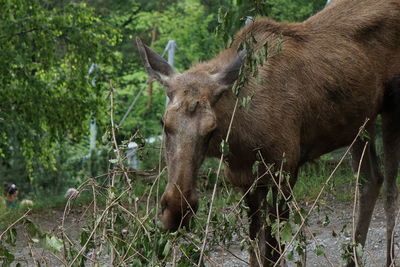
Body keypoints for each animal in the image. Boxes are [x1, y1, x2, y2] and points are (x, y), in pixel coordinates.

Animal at [136, 0, 398, 266]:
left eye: (212, 129)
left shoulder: (284, 171)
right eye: (164, 122)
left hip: (391, 107)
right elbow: (256, 245)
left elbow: (273, 249)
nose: (178, 210)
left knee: (390, 189)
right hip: (360, 124)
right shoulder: (246, 180)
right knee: (371, 180)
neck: (240, 137)